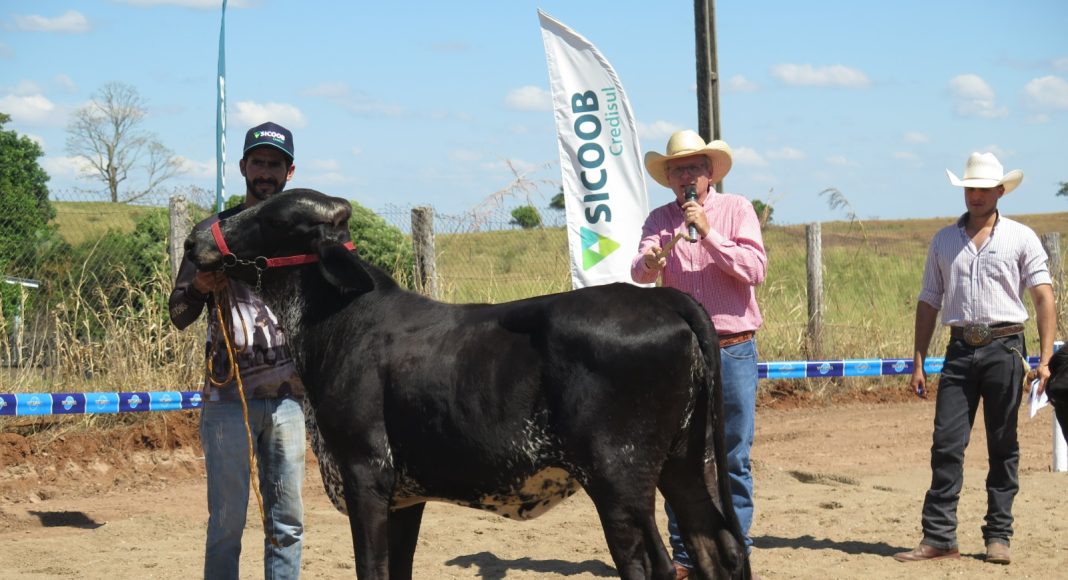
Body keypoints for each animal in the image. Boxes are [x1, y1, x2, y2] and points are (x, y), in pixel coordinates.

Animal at [183, 188, 750, 579]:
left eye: (273, 217)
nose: (193, 239)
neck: (337, 320)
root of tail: (662, 297)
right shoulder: (404, 497)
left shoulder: (366, 476)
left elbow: (372, 570)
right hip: (683, 460)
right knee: (717, 547)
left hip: (620, 476)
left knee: (656, 564)